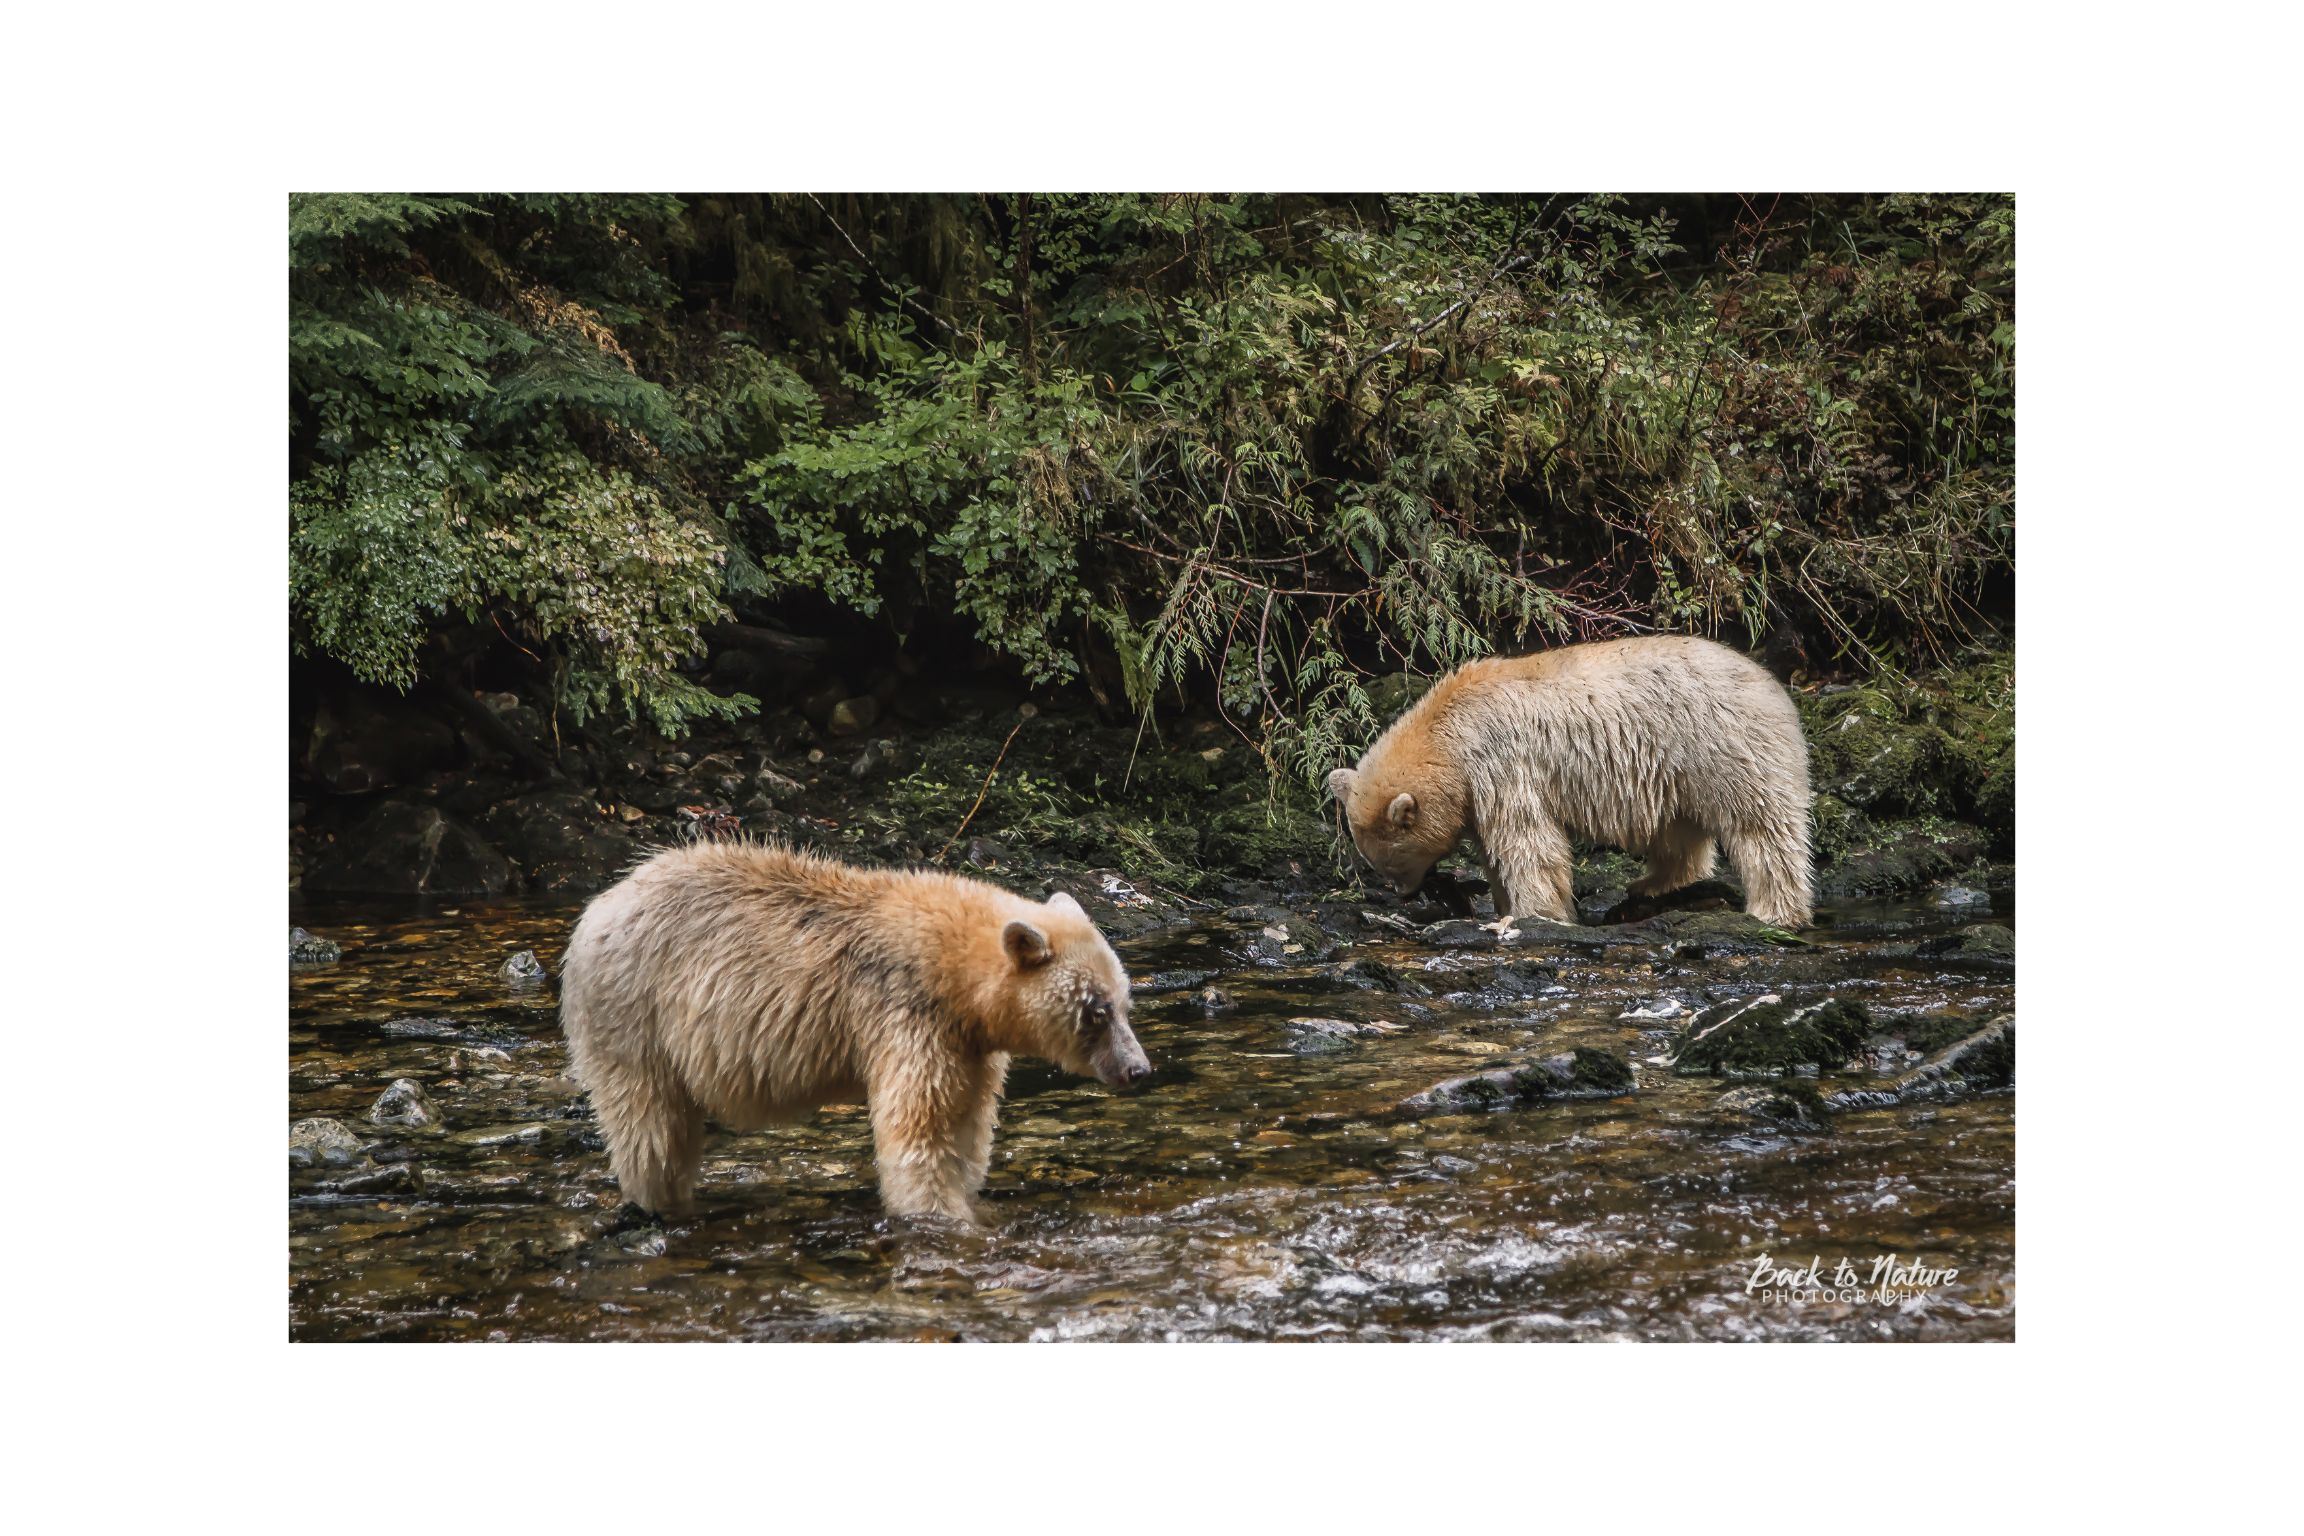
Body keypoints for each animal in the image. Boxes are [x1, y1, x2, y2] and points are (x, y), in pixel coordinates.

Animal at [548, 842, 1142, 1225]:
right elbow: (920, 1125)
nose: (1138, 1069)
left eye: (1125, 999)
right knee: (652, 1126)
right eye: (1096, 1010)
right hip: (633, 1015)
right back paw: (662, 1203)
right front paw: (940, 1214)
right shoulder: (909, 1014)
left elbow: (969, 1121)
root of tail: (595, 911)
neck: (956, 973)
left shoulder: (967, 1042)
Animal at [1336, 635, 1815, 925]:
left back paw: (1775, 910)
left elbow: (1526, 840)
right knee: (1678, 830)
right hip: (1678, 767)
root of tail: (1775, 689)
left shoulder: (1498, 760)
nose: (1403, 893)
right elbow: (1494, 849)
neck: (1447, 731)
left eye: (1394, 863)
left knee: (1762, 827)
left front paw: (1531, 914)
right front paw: (1502, 903)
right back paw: (1650, 884)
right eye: (1379, 865)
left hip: (1723, 745)